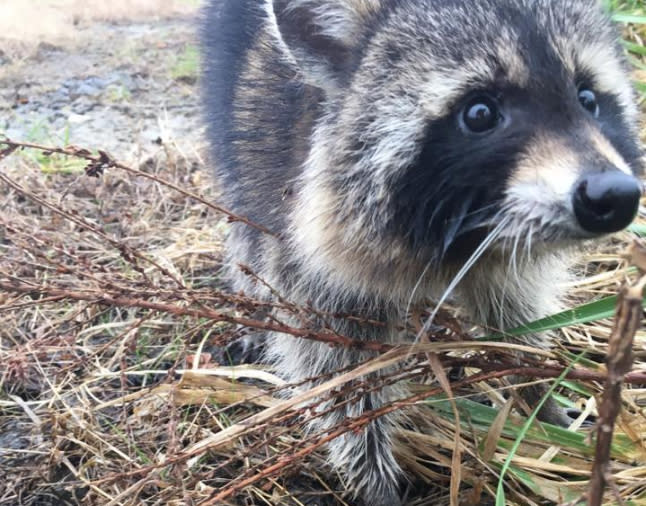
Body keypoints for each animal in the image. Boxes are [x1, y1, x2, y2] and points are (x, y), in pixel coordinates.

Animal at [201, 1, 644, 504]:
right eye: (479, 113)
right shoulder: (300, 231)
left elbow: (514, 314)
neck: (465, 233)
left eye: (588, 98)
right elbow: (337, 368)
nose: (615, 195)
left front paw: (538, 395)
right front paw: (372, 477)